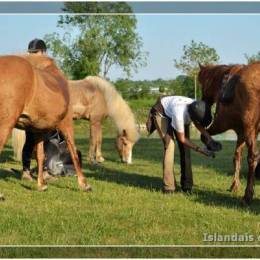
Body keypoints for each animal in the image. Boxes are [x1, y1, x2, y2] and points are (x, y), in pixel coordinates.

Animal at [0, 53, 91, 198]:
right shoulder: (66, 124)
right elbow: (74, 153)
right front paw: (84, 184)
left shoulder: (38, 131)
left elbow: (40, 156)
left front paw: (41, 184)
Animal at [11, 75, 140, 165]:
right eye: (124, 143)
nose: (128, 162)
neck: (102, 95)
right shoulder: (94, 122)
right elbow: (93, 140)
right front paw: (92, 160)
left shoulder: (98, 122)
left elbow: (99, 140)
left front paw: (99, 158)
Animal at [198, 63, 260, 205]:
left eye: (202, 84)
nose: (204, 101)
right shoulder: (241, 133)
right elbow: (237, 156)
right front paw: (235, 185)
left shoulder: (223, 124)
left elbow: (204, 135)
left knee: (253, 157)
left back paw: (247, 196)